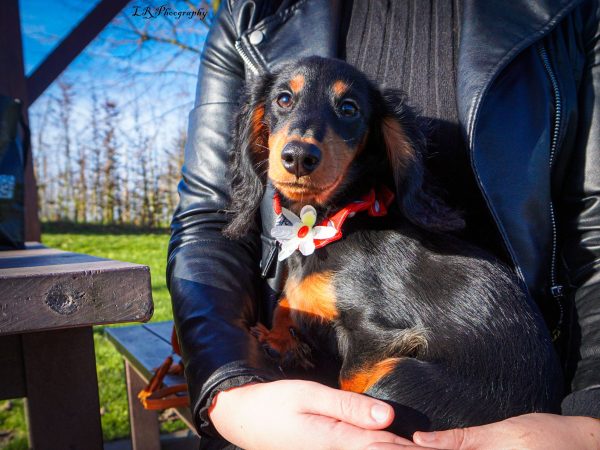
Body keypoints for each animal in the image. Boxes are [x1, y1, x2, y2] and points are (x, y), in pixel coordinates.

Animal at [221, 55, 564, 436]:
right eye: (283, 99)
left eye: (349, 108)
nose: (298, 157)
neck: (330, 223)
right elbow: (286, 302)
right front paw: (282, 342)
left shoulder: (377, 335)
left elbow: (350, 382)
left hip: (402, 378)